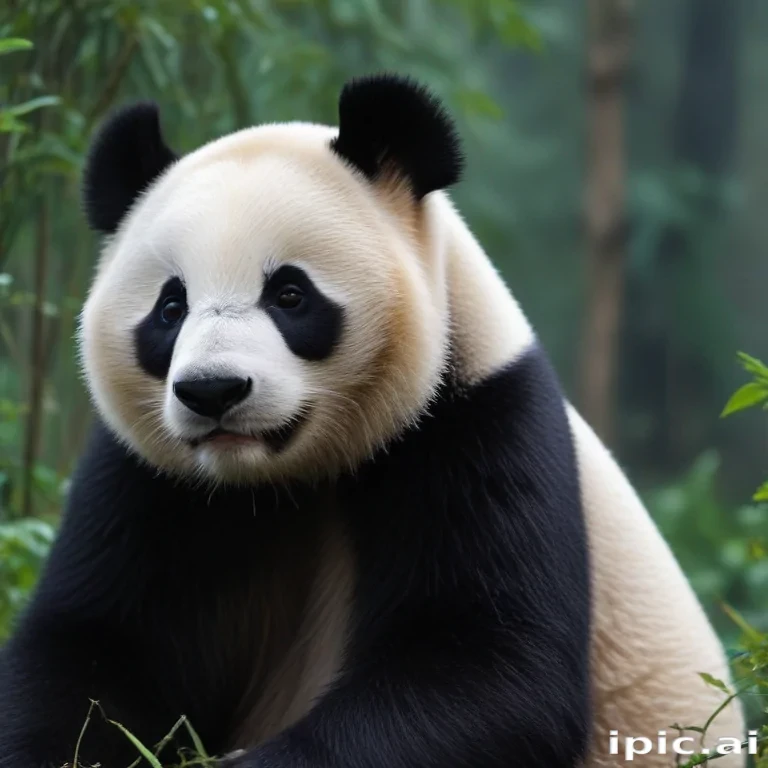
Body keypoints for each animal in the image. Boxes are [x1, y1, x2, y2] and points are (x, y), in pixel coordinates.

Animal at [0, 75, 742, 768]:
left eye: (290, 294)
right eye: (170, 308)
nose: (213, 391)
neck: (280, 480)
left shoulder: (476, 421)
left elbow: (486, 669)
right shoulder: (151, 478)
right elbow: (94, 650)